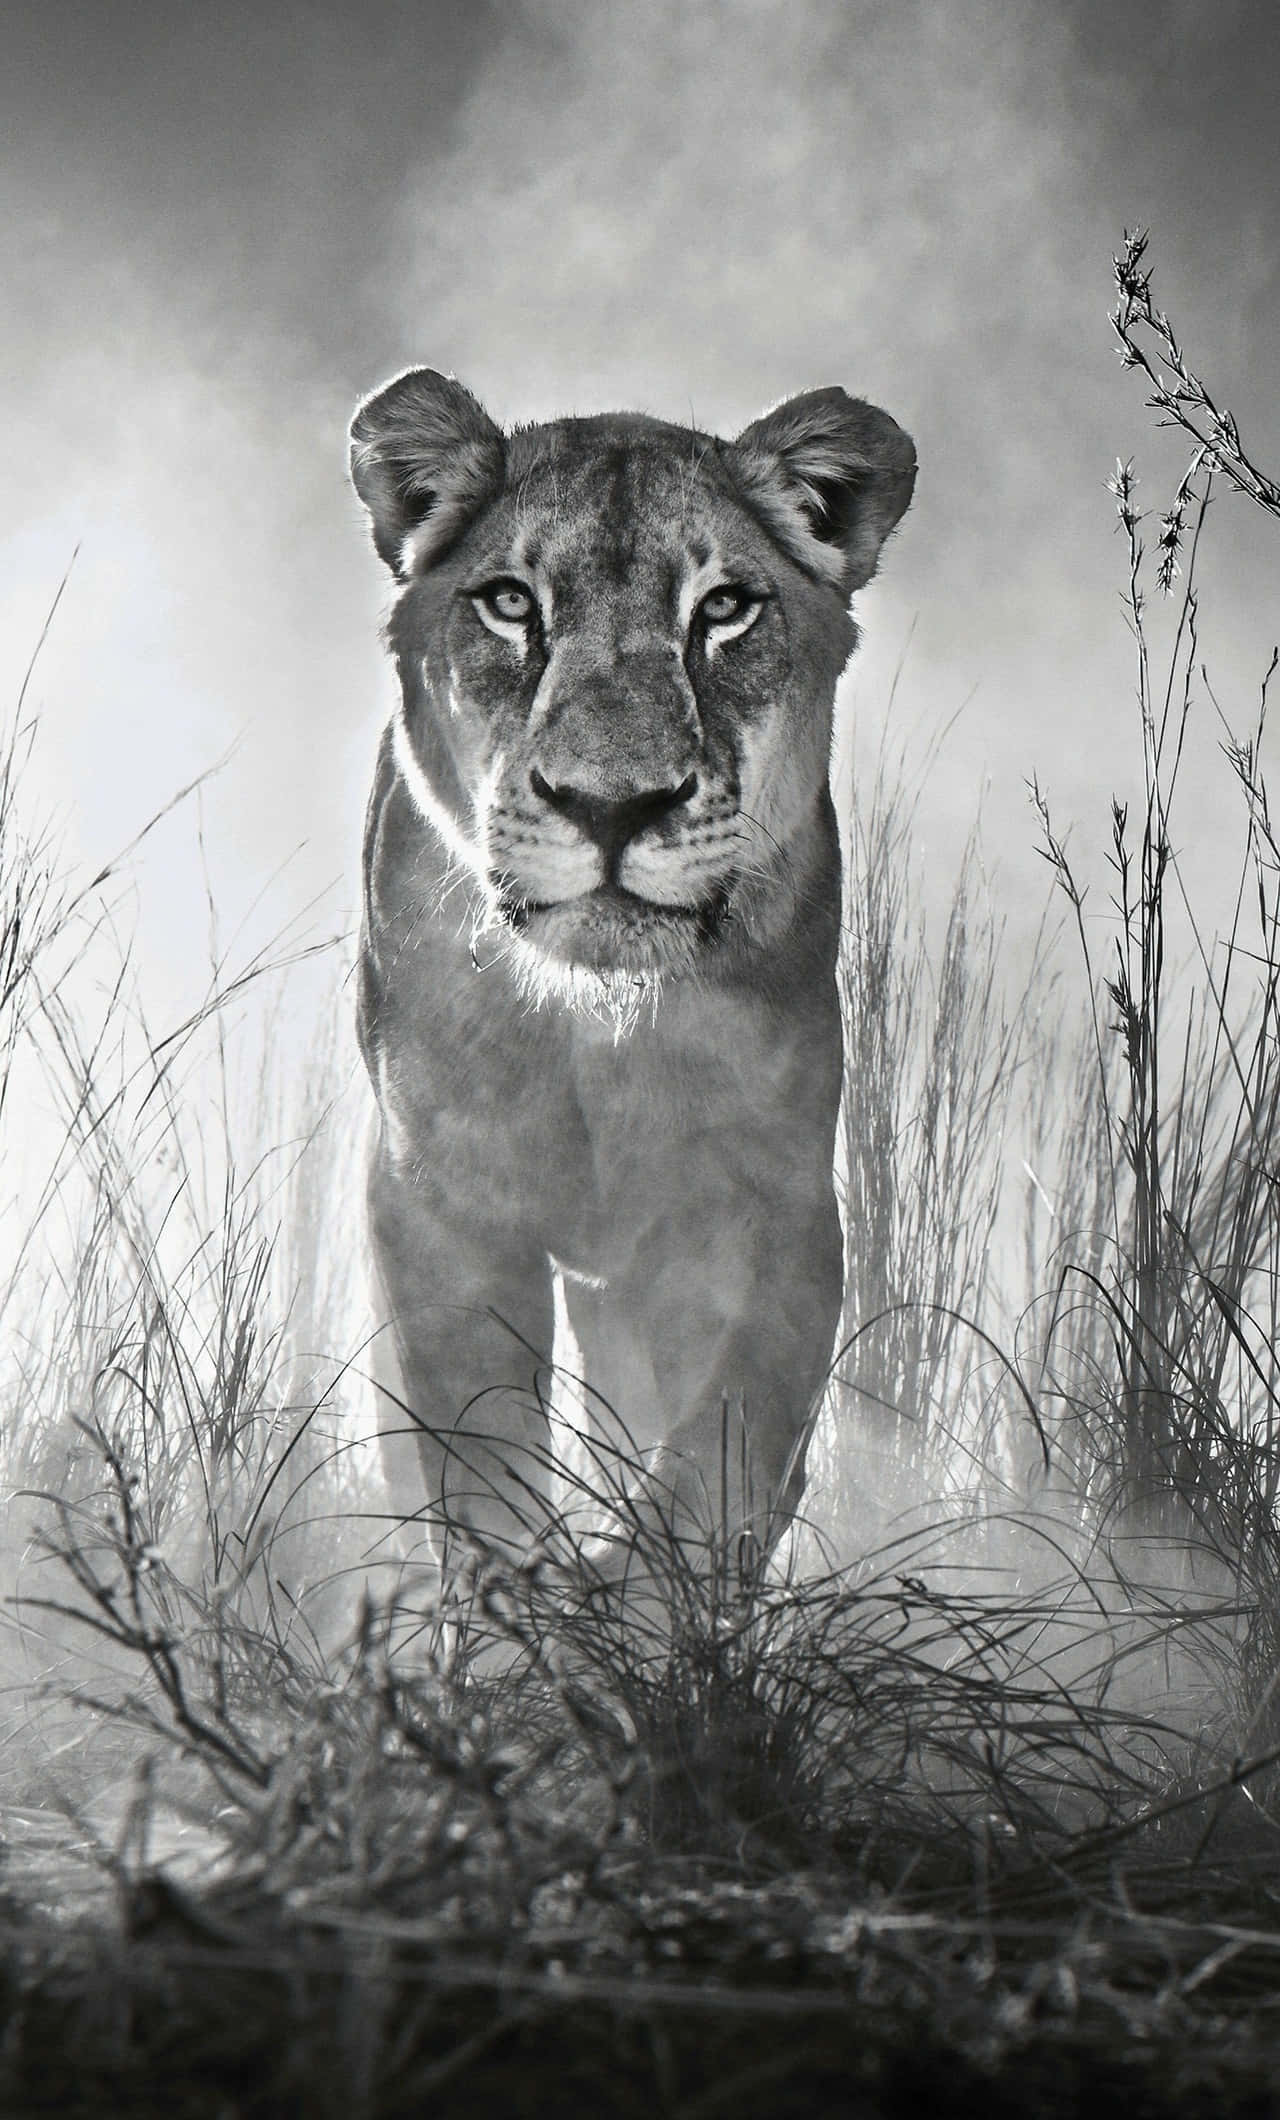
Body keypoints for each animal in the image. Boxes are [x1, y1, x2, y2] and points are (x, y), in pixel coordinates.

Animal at [349, 370, 915, 1601]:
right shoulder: (438, 1198)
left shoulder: (773, 1204)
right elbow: (478, 1448)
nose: (612, 805)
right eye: (509, 602)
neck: (596, 1034)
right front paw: (522, 1613)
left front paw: (641, 1596)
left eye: (725, 607)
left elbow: (727, 1443)